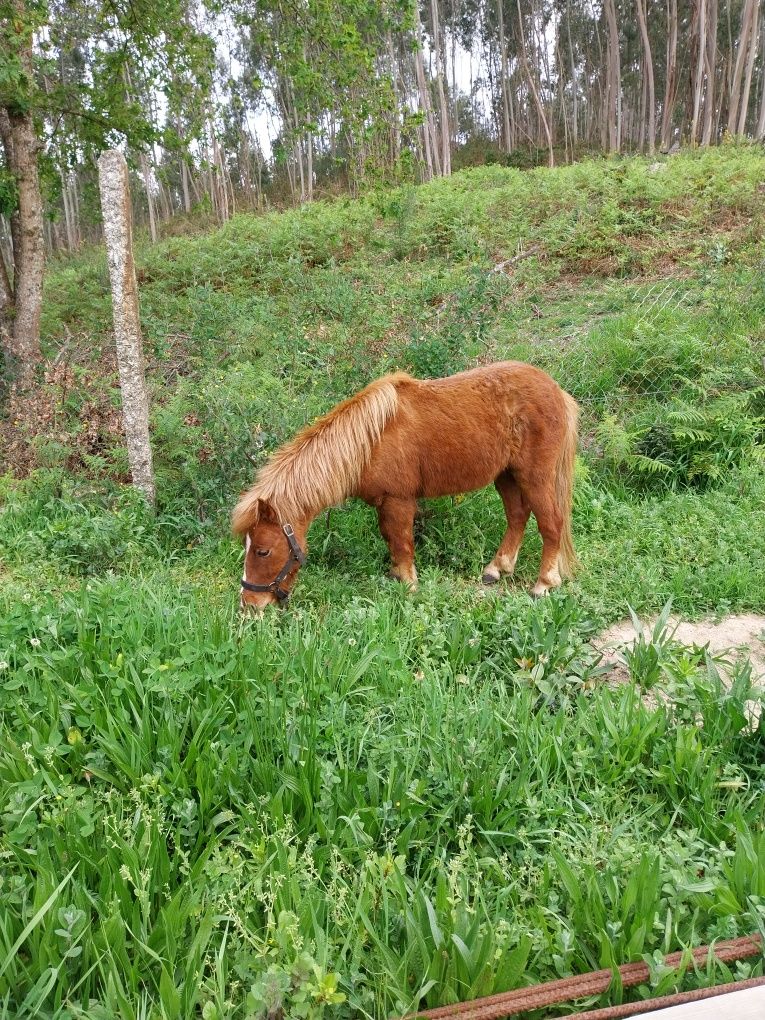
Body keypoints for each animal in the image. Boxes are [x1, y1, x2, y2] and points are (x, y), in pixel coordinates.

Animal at [233, 363, 579, 607]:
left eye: (263, 551)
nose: (249, 604)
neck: (371, 441)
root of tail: (556, 390)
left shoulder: (399, 500)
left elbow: (402, 542)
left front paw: (410, 587)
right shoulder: (385, 504)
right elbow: (391, 540)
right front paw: (396, 576)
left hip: (535, 477)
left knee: (551, 523)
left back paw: (544, 584)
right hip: (506, 476)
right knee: (517, 517)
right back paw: (497, 568)